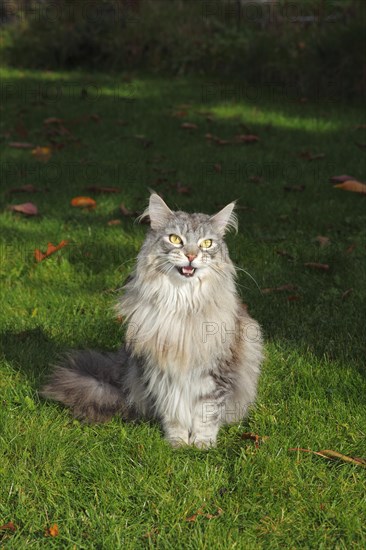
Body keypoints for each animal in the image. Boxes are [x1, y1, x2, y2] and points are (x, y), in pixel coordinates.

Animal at [41, 194, 262, 448]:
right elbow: (173, 411)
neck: (182, 303)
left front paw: (202, 445)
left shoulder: (216, 371)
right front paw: (178, 443)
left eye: (207, 243)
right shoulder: (160, 370)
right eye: (175, 239)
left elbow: (207, 413)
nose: (191, 256)